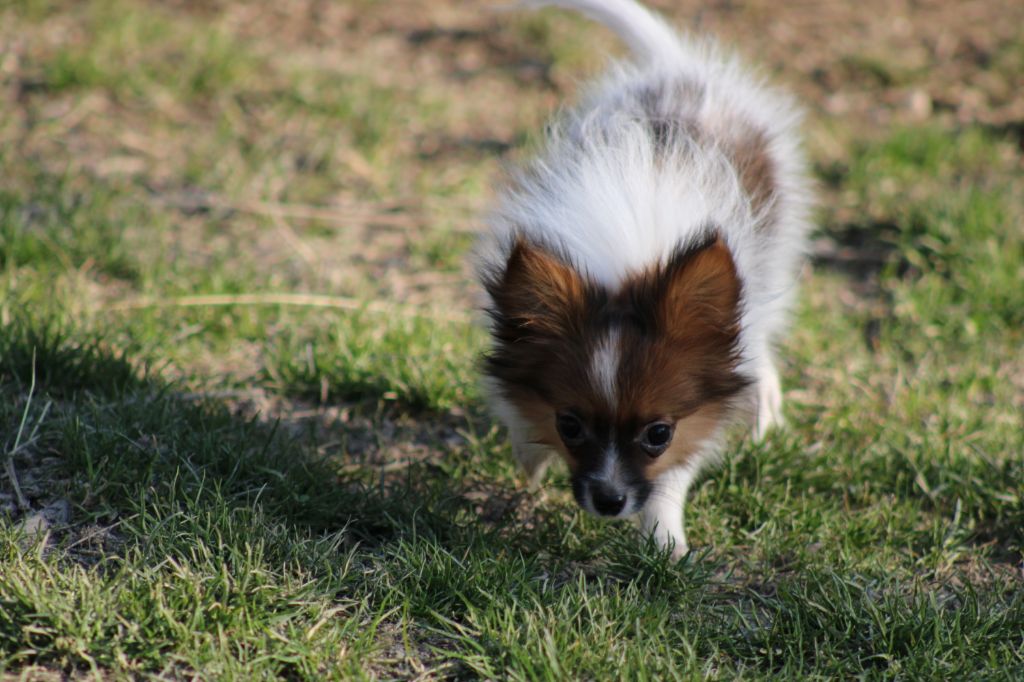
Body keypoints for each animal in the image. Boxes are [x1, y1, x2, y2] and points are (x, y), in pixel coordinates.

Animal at [475, 0, 811, 557]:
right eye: (570, 425)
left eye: (658, 434)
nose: (609, 502)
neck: (627, 267)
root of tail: (679, 66)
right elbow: (515, 403)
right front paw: (530, 452)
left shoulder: (693, 419)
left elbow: (670, 478)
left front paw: (664, 543)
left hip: (773, 254)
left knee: (758, 336)